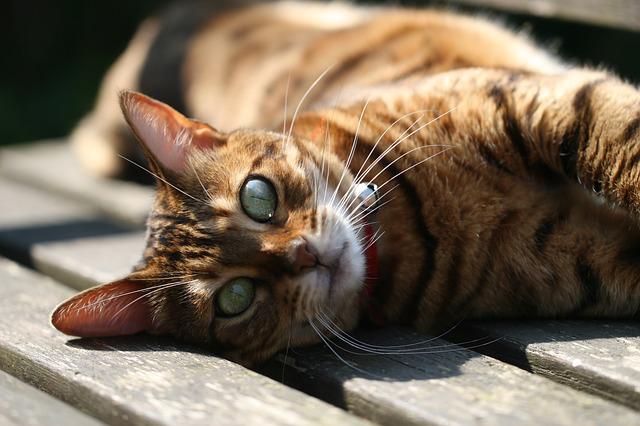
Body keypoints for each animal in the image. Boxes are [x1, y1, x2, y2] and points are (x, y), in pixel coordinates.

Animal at [50, 0, 640, 366]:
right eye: (235, 298)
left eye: (257, 196)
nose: (305, 255)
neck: (412, 223)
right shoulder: (585, 259)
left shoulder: (540, 103)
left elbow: (622, 144)